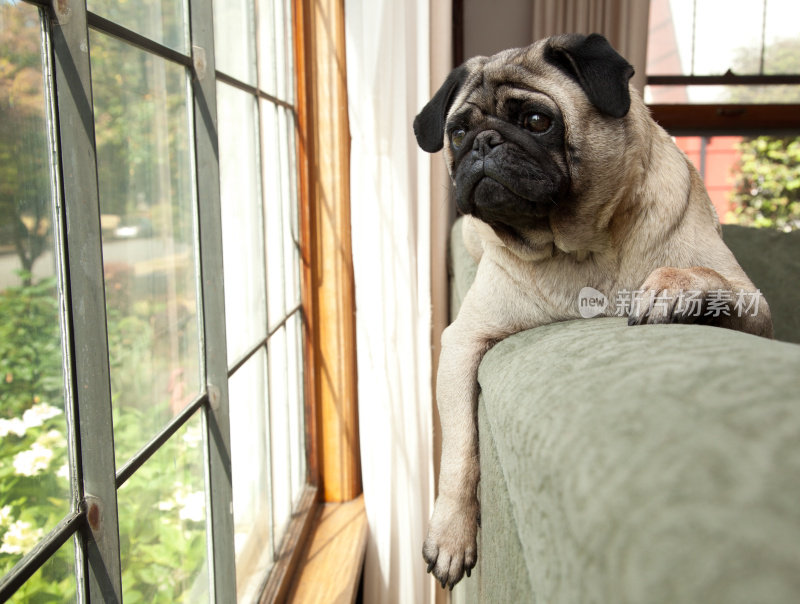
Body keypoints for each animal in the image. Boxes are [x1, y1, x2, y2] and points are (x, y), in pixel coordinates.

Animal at [412, 34, 776, 588]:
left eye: (537, 121)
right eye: (457, 133)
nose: (483, 143)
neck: (578, 247)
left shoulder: (752, 304)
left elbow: (703, 276)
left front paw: (672, 286)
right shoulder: (463, 343)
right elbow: (460, 450)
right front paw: (452, 533)